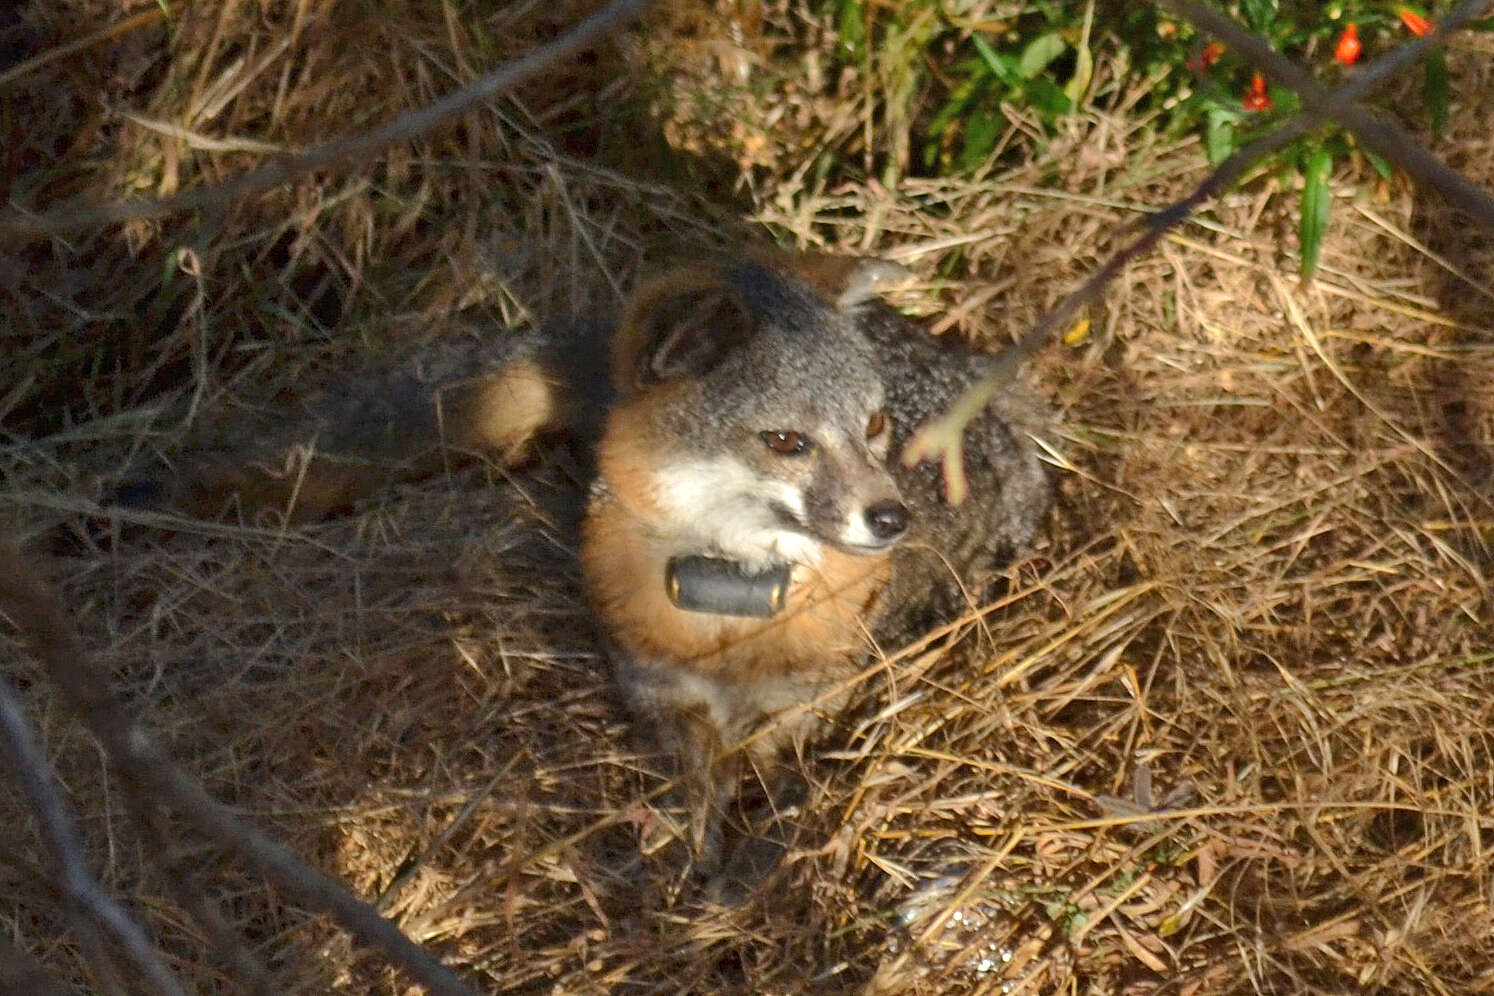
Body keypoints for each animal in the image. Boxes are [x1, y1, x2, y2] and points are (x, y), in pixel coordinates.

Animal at [110, 255, 1057, 878]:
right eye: (786, 441)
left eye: (875, 427)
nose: (893, 518)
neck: (730, 608)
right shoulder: (657, 696)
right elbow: (695, 789)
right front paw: (693, 858)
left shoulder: (809, 703)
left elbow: (759, 769)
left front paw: (739, 861)